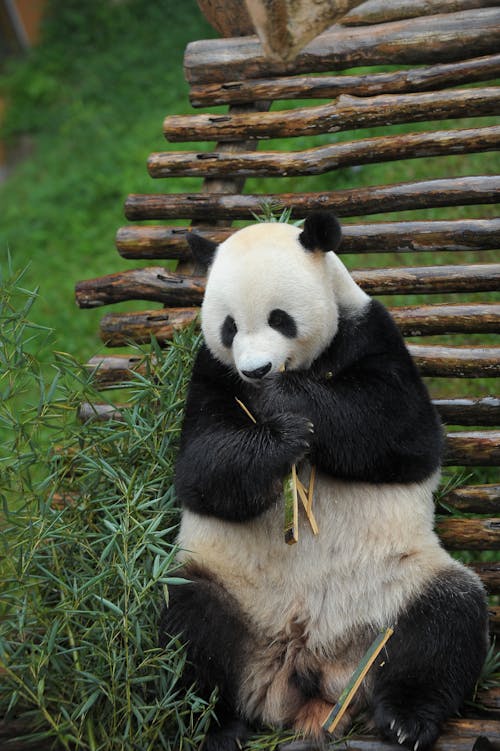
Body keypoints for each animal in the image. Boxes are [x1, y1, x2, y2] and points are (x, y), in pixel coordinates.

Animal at [160, 212, 488, 751]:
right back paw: (216, 725)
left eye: (279, 318)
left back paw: (407, 719)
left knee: (446, 620)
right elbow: (200, 472)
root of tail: (307, 663)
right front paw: (280, 439)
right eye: (229, 327)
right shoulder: (210, 372)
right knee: (187, 627)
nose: (256, 370)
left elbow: (403, 430)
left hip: (395, 590)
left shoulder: (371, 333)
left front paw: (288, 401)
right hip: (227, 587)